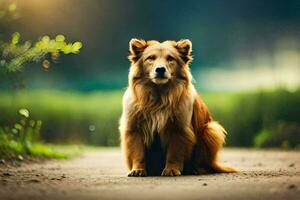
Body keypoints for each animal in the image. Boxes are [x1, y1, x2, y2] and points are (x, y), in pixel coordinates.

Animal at [118, 38, 236, 176]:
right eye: (150, 58)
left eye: (170, 58)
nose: (160, 69)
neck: (159, 98)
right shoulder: (134, 128)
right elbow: (138, 152)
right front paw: (138, 170)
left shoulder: (179, 129)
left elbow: (174, 152)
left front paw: (171, 169)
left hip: (211, 129)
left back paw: (196, 169)